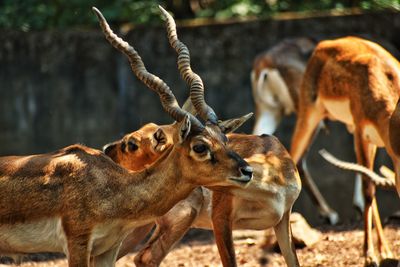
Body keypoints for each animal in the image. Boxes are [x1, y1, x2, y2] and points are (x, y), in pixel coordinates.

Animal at [0, 6, 253, 267]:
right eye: (200, 146)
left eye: (225, 139)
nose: (247, 171)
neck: (114, 189)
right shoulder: (78, 243)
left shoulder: (108, 248)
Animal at [102, 7, 300, 267]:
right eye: (199, 147)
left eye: (226, 139)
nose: (245, 171)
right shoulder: (221, 219)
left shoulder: (282, 220)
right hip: (177, 218)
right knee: (144, 257)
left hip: (141, 225)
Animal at [290, 36, 400, 267]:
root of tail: (325, 44)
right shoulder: (360, 133)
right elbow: (367, 190)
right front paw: (369, 255)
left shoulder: (378, 143)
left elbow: (372, 189)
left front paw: (383, 251)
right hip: (309, 115)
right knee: (293, 157)